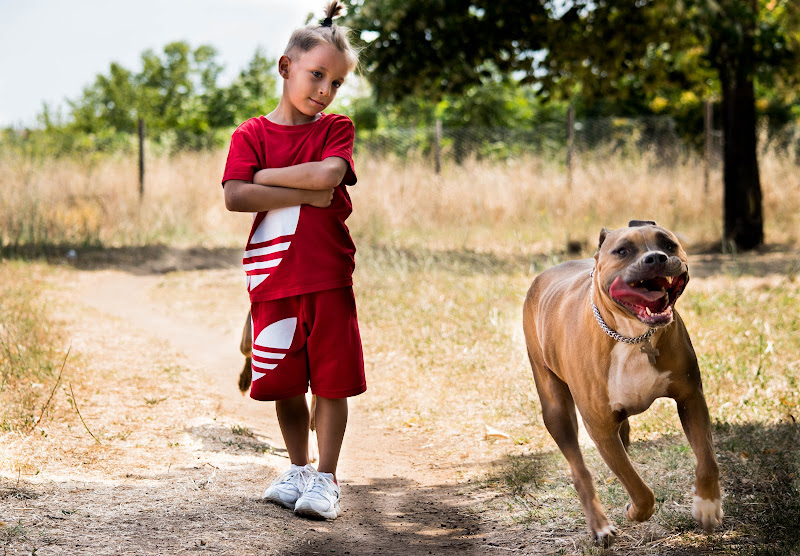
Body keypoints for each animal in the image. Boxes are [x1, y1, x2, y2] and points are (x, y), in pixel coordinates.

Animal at [520, 220, 720, 544]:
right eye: (622, 251)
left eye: (668, 244)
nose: (656, 258)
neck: (633, 335)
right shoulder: (601, 427)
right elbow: (639, 488)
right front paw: (634, 512)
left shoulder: (691, 398)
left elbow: (707, 459)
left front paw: (708, 504)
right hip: (556, 410)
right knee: (580, 470)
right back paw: (599, 525)